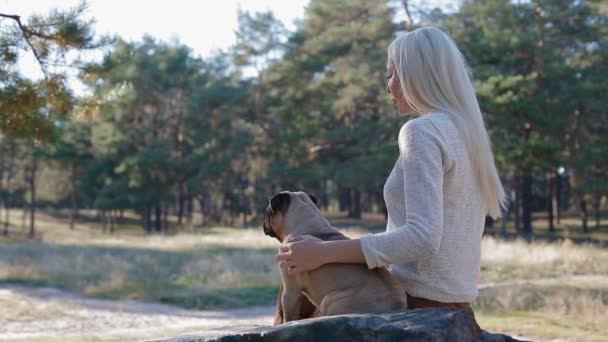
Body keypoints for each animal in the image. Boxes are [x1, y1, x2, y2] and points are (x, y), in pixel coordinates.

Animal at [262, 190, 408, 324]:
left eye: (267, 211)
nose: (263, 223)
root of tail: (394, 308)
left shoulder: (290, 291)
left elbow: (288, 316)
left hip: (328, 301)